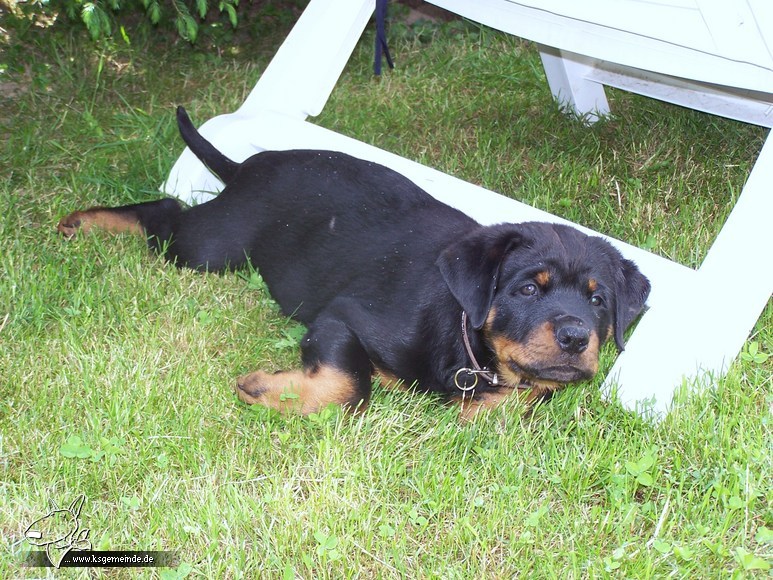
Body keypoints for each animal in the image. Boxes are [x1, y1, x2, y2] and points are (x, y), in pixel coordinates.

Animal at [60, 106, 648, 420]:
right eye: (528, 289)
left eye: (598, 300)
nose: (576, 337)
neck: (463, 337)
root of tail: (249, 166)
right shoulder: (342, 317)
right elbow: (351, 388)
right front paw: (270, 389)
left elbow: (522, 397)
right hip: (210, 249)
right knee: (166, 212)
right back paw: (84, 222)